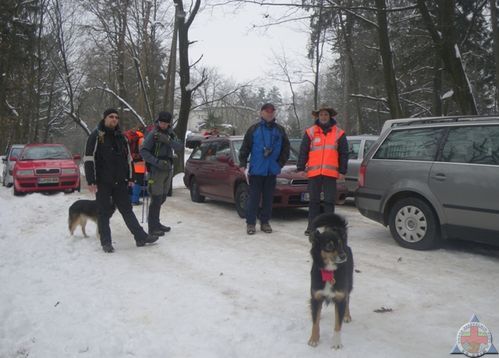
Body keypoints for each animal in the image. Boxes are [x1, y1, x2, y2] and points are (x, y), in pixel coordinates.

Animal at [306, 213, 354, 350]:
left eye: (340, 244)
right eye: (330, 245)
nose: (343, 256)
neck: (329, 271)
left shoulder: (340, 297)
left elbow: (337, 325)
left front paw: (336, 343)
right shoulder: (316, 296)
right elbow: (315, 322)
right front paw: (314, 339)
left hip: (349, 284)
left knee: (348, 299)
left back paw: (347, 315)